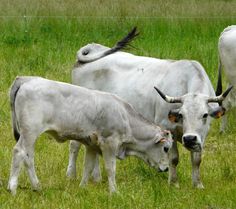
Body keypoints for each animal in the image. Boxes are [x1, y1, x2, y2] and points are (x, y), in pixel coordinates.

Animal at [8, 76, 172, 194]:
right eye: (166, 148)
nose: (166, 169)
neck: (125, 116)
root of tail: (26, 79)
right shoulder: (109, 144)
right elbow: (110, 168)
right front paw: (114, 192)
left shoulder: (91, 145)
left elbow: (88, 166)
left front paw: (83, 187)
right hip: (30, 132)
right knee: (19, 152)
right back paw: (12, 188)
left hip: (29, 135)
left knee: (28, 157)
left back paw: (36, 186)